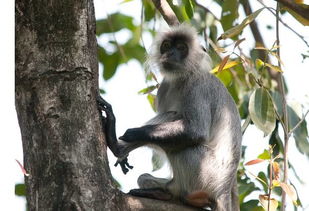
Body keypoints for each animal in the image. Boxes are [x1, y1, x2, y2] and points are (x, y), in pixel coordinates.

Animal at [97, 24, 242, 209]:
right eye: (166, 46)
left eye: (181, 48)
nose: (171, 53)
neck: (181, 78)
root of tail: (223, 190)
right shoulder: (164, 87)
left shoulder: (198, 85)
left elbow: (195, 131)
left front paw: (132, 133)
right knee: (145, 177)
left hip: (205, 174)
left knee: (178, 131)